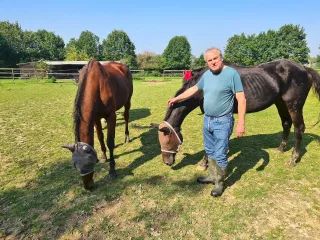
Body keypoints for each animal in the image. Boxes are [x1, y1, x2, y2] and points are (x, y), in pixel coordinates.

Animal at [62, 58, 132, 189]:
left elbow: (110, 142)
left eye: (89, 162)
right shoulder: (95, 118)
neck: (97, 85)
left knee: (126, 117)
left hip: (127, 101)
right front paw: (104, 156)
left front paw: (112, 170)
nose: (88, 186)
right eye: (74, 164)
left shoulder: (111, 116)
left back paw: (127, 136)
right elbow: (100, 137)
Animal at [152, 60, 320, 168]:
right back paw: (281, 148)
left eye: (167, 140)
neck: (204, 87)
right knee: (286, 123)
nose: (167, 162)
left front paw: (204, 163)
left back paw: (293, 159)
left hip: (294, 105)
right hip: (281, 103)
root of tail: (305, 69)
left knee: (299, 129)